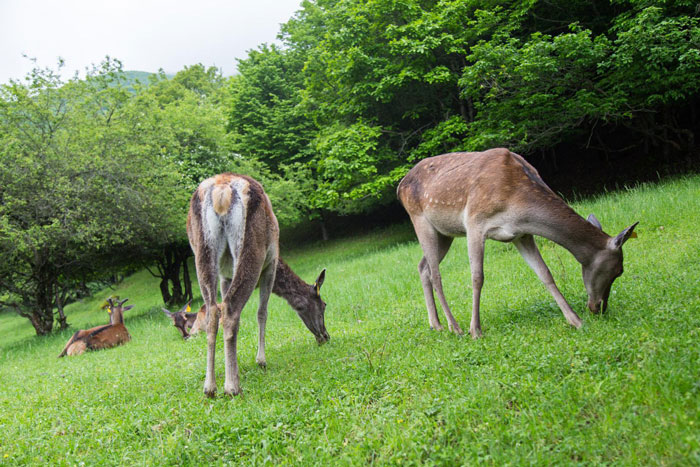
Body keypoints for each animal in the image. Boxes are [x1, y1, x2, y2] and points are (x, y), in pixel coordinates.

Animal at [186, 174, 328, 396]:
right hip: (253, 248)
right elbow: (262, 312)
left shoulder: (226, 276)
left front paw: (234, 367)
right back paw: (232, 388)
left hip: (202, 251)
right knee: (231, 309)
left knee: (213, 311)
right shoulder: (270, 265)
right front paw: (261, 361)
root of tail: (221, 193)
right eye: (324, 306)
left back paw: (210, 388)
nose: (325, 336)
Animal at [396, 148, 636, 338]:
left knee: (423, 266)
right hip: (420, 220)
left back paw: (435, 324)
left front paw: (575, 321)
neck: (518, 203)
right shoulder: (474, 222)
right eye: (619, 270)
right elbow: (477, 277)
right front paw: (476, 330)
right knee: (436, 274)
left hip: (445, 233)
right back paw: (454, 327)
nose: (599, 308)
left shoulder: (521, 234)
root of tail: (399, 187)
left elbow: (545, 273)